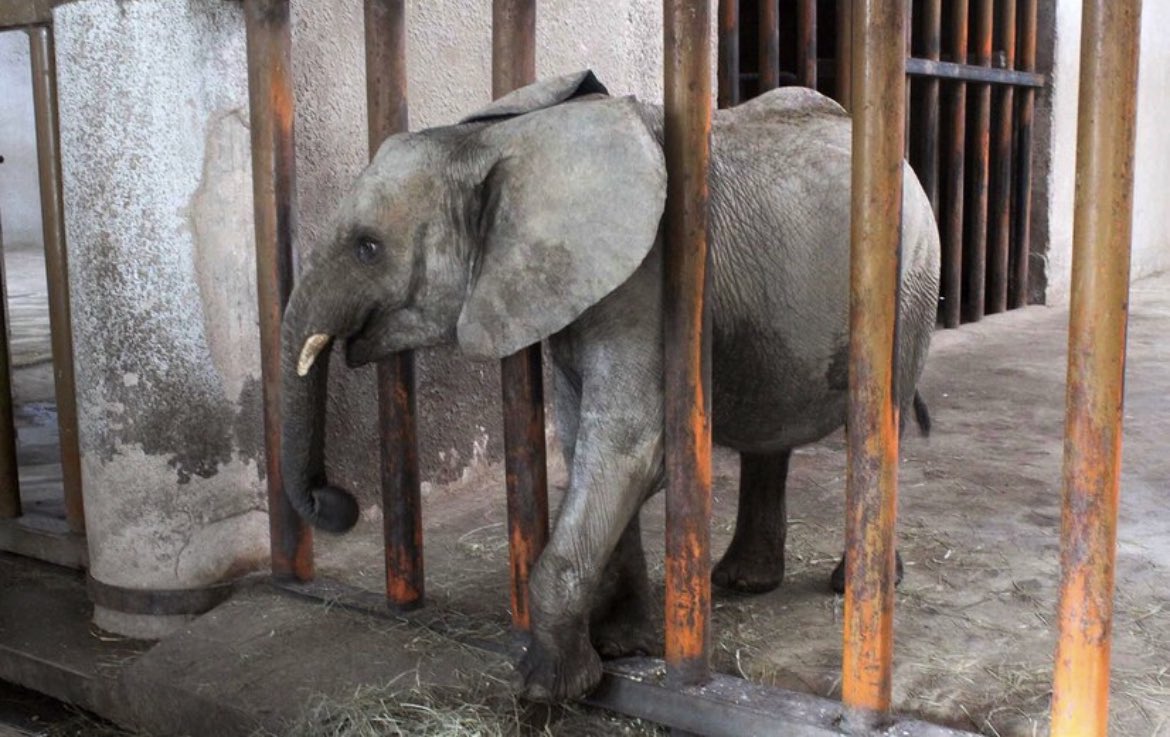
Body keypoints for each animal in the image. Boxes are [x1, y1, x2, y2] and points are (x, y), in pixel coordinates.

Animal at [280, 71, 940, 702]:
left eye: (367, 248)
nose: (335, 502)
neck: (506, 142)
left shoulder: (649, 286)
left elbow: (629, 450)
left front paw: (550, 688)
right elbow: (583, 445)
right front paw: (623, 646)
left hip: (909, 283)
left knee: (875, 426)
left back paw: (850, 585)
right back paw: (740, 582)